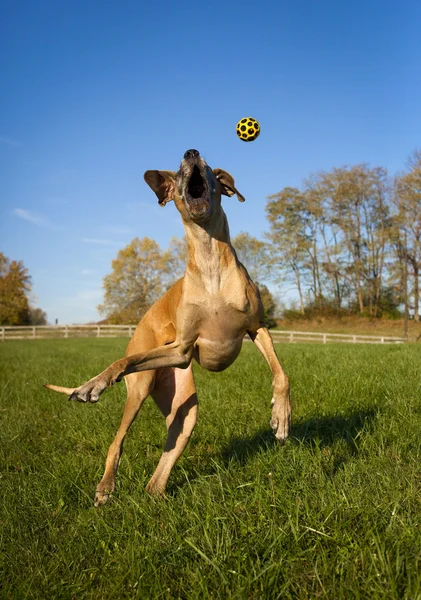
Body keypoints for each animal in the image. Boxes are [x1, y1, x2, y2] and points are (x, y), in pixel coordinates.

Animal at [45, 150, 288, 506]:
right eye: (178, 169)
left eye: (208, 167)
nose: (191, 152)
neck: (210, 261)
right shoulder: (182, 347)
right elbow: (123, 362)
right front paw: (94, 383)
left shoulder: (256, 329)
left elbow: (281, 375)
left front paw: (281, 417)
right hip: (143, 386)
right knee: (117, 440)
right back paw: (106, 485)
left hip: (184, 406)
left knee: (160, 469)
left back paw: (157, 496)